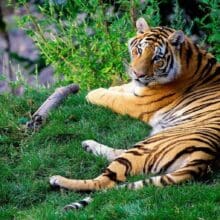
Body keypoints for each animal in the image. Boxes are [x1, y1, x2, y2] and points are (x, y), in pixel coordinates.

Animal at [49, 17, 220, 210]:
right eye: (139, 50)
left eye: (157, 58)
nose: (138, 74)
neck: (188, 56)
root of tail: (205, 157)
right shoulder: (136, 88)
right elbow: (121, 88)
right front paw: (110, 88)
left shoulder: (138, 103)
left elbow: (112, 98)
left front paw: (92, 93)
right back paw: (88, 145)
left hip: (148, 145)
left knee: (104, 182)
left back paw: (58, 179)